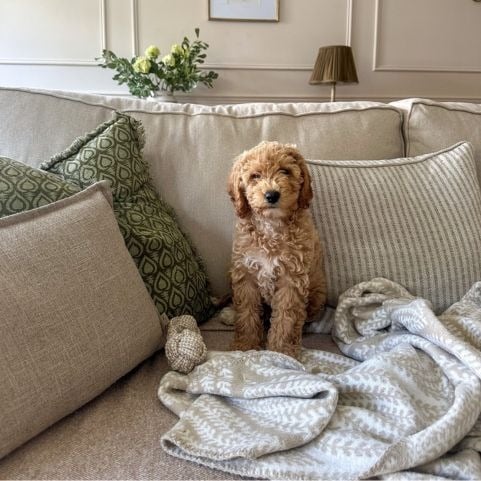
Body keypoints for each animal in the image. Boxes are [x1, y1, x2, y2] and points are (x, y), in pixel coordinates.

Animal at [226, 139, 326, 356]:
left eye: (285, 171)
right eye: (255, 176)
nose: (272, 195)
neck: (271, 226)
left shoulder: (292, 279)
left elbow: (287, 317)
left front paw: (282, 350)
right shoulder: (245, 273)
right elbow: (246, 312)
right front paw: (245, 345)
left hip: (317, 292)